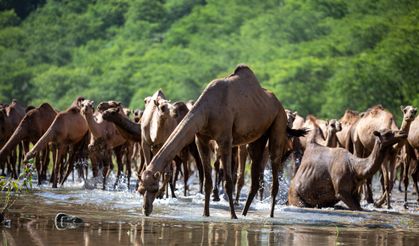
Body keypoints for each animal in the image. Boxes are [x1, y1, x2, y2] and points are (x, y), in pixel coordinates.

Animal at [139, 64, 306, 218]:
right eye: (140, 189)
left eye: (154, 188)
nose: (146, 209)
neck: (206, 111)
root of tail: (280, 105)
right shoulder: (201, 139)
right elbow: (208, 180)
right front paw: (205, 214)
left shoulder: (224, 139)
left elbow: (228, 181)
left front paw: (233, 215)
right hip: (258, 135)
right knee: (255, 168)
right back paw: (245, 213)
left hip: (278, 122)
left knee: (275, 165)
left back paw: (269, 215)